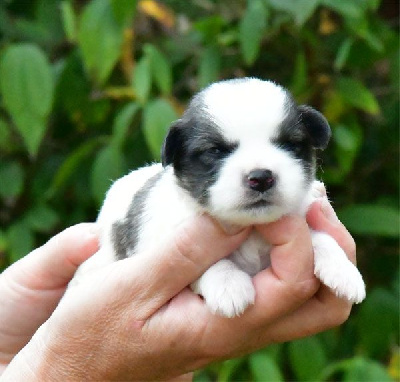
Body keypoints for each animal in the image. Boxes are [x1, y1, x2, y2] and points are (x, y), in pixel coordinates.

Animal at [72, 77, 366, 316]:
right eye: (214, 151)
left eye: (289, 145)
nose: (261, 177)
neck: (252, 230)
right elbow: (206, 264)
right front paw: (228, 284)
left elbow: (321, 237)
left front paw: (344, 270)